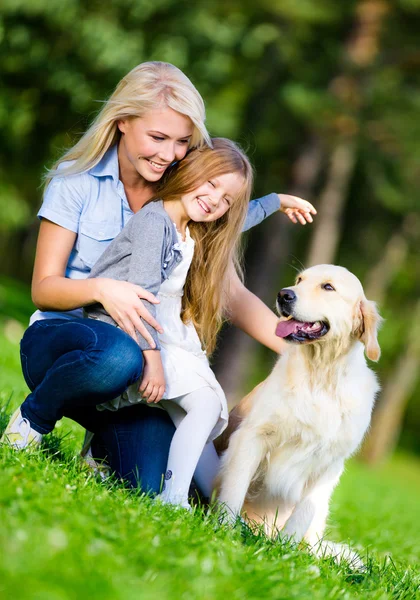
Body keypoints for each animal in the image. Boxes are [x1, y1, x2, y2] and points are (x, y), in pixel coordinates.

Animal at [215, 264, 382, 560]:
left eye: (328, 287)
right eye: (299, 280)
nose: (284, 295)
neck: (321, 376)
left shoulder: (329, 464)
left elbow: (304, 511)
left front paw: (285, 552)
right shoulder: (251, 437)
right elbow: (234, 488)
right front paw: (224, 529)